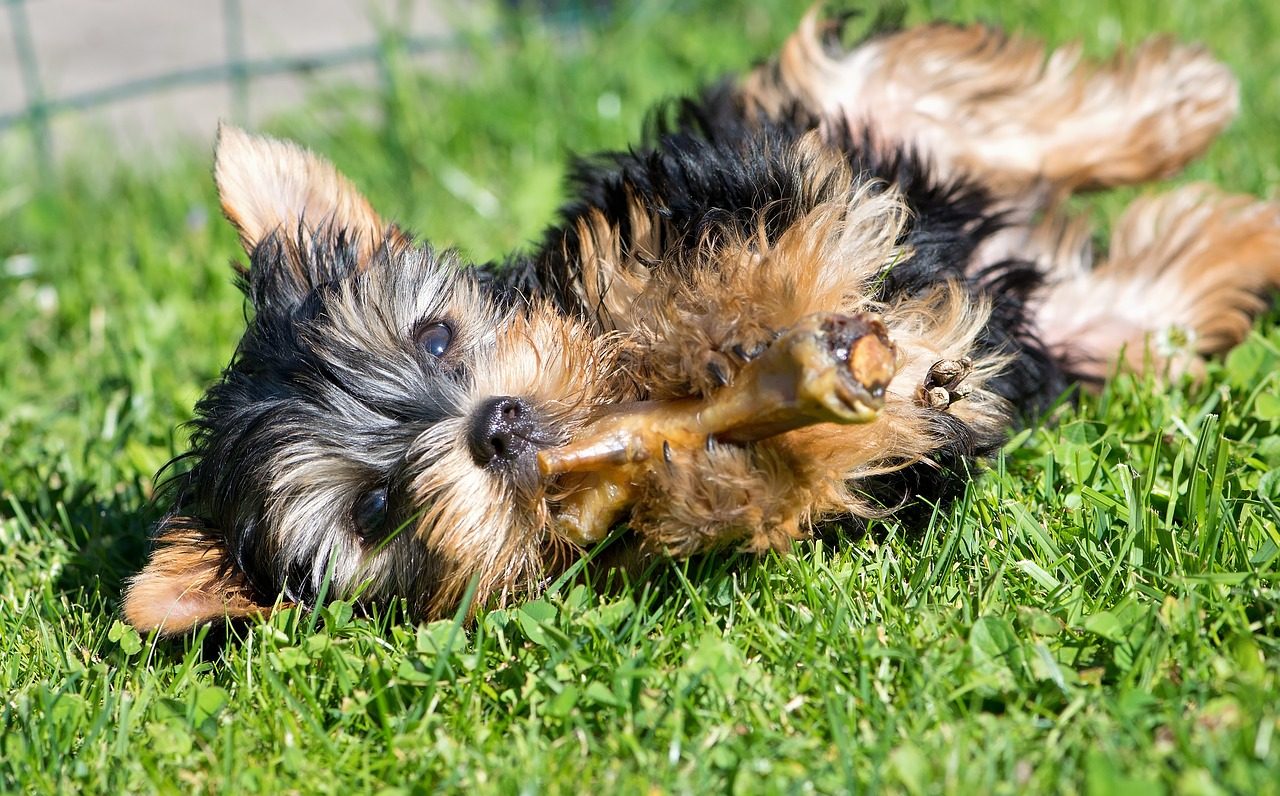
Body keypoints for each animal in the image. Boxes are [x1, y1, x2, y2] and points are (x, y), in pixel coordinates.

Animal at [120, 10, 1280, 637]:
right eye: (373, 509)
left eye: (435, 337)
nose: (495, 426)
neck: (615, 398)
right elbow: (791, 483)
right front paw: (714, 466)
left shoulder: (684, 193)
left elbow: (691, 263)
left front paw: (716, 327)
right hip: (1078, 327)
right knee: (1147, 297)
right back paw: (1241, 234)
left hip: (831, 114)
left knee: (953, 100)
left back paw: (1181, 101)